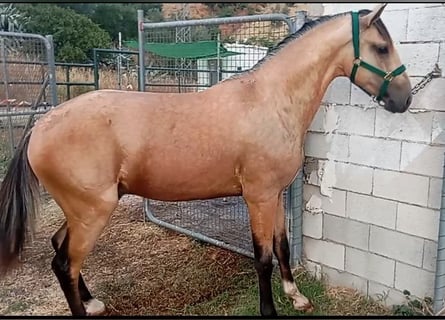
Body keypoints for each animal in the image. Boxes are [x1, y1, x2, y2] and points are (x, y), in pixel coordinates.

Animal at [0, 3, 412, 316]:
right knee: (65, 264)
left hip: (81, 210)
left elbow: (281, 246)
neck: (269, 100)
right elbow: (262, 256)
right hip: (92, 212)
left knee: (59, 248)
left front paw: (296, 297)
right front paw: (269, 309)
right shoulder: (258, 198)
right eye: (380, 47)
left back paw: (92, 302)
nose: (405, 99)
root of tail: (41, 125)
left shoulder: (275, 195)